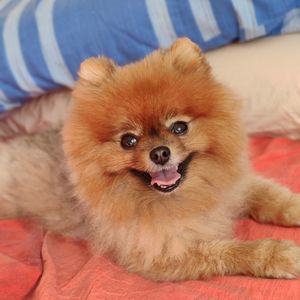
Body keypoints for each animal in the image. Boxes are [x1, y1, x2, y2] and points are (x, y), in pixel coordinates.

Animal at [0, 38, 300, 282]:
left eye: (179, 127)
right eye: (128, 141)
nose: (159, 153)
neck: (188, 195)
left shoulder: (238, 186)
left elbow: (274, 197)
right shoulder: (165, 253)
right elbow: (231, 251)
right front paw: (281, 255)